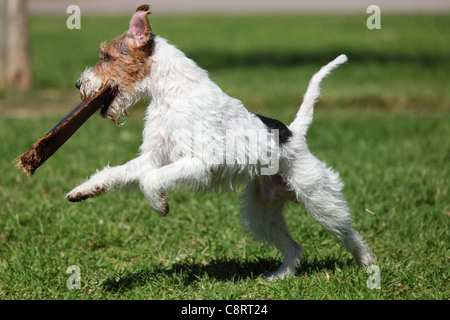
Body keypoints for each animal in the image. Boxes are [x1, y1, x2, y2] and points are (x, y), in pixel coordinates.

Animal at [67, 5, 374, 280]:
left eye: (106, 56)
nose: (78, 84)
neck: (174, 93)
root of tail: (295, 132)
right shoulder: (153, 157)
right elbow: (118, 173)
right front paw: (82, 191)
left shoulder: (200, 161)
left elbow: (150, 180)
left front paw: (160, 205)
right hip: (263, 213)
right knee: (294, 248)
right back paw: (279, 276)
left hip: (318, 198)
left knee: (349, 234)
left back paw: (368, 267)